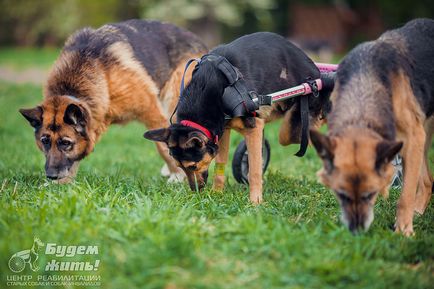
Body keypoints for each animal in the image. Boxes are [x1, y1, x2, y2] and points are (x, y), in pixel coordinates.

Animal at [21, 19, 208, 182]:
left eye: (66, 143)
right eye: (44, 141)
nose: (51, 176)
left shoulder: (151, 111)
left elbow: (163, 147)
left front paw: (178, 176)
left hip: (173, 102)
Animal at [144, 32, 330, 202]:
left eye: (193, 166)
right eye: (179, 167)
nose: (195, 191)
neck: (211, 87)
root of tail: (312, 66)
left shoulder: (253, 127)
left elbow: (254, 170)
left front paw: (255, 202)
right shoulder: (222, 129)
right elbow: (220, 164)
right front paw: (217, 193)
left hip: (297, 121)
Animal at [310, 18, 434, 235]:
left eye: (370, 194)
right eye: (341, 194)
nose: (357, 232)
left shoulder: (413, 139)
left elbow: (405, 196)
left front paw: (403, 231)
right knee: (428, 180)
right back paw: (418, 212)